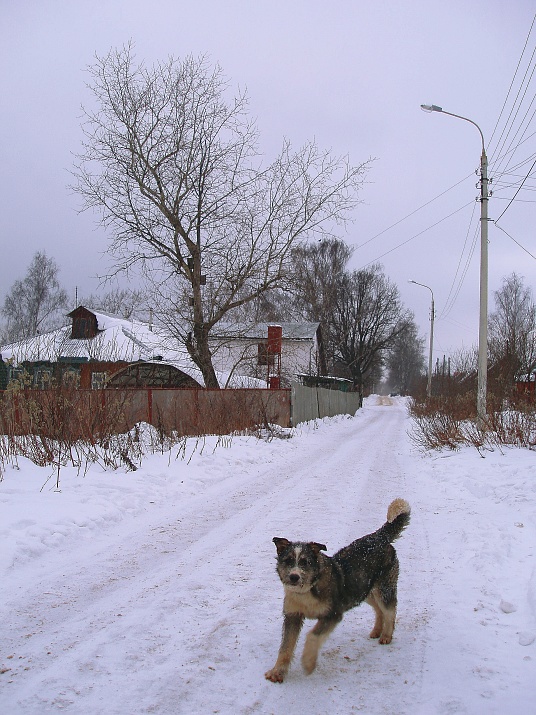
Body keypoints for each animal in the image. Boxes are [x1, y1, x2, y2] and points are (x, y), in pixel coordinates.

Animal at [264, 498, 410, 684]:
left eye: (304, 562)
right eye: (288, 561)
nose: (294, 577)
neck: (308, 590)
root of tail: (379, 537)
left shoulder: (333, 614)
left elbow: (313, 636)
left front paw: (308, 663)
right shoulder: (292, 615)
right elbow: (285, 646)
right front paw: (277, 672)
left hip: (384, 588)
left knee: (390, 610)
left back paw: (386, 635)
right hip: (364, 591)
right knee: (379, 610)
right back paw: (377, 631)